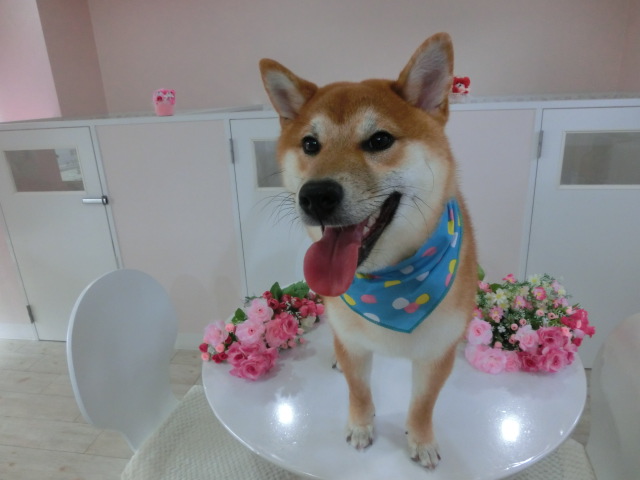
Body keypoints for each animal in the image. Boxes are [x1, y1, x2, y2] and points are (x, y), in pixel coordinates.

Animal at [259, 32, 477, 469]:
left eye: (380, 140)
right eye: (310, 144)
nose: (316, 196)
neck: (389, 287)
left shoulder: (434, 356)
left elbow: (423, 405)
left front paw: (421, 440)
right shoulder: (355, 346)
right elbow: (357, 390)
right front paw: (361, 428)